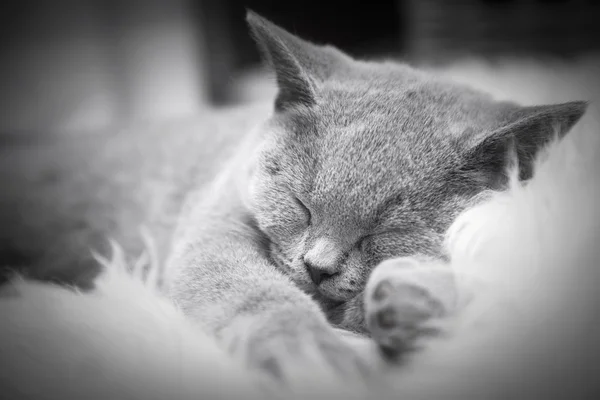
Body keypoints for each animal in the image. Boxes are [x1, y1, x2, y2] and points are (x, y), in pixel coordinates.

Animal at [0, 9, 584, 390]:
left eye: (384, 231)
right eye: (301, 204)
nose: (317, 265)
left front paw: (411, 300)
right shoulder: (218, 221)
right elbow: (247, 288)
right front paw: (310, 357)